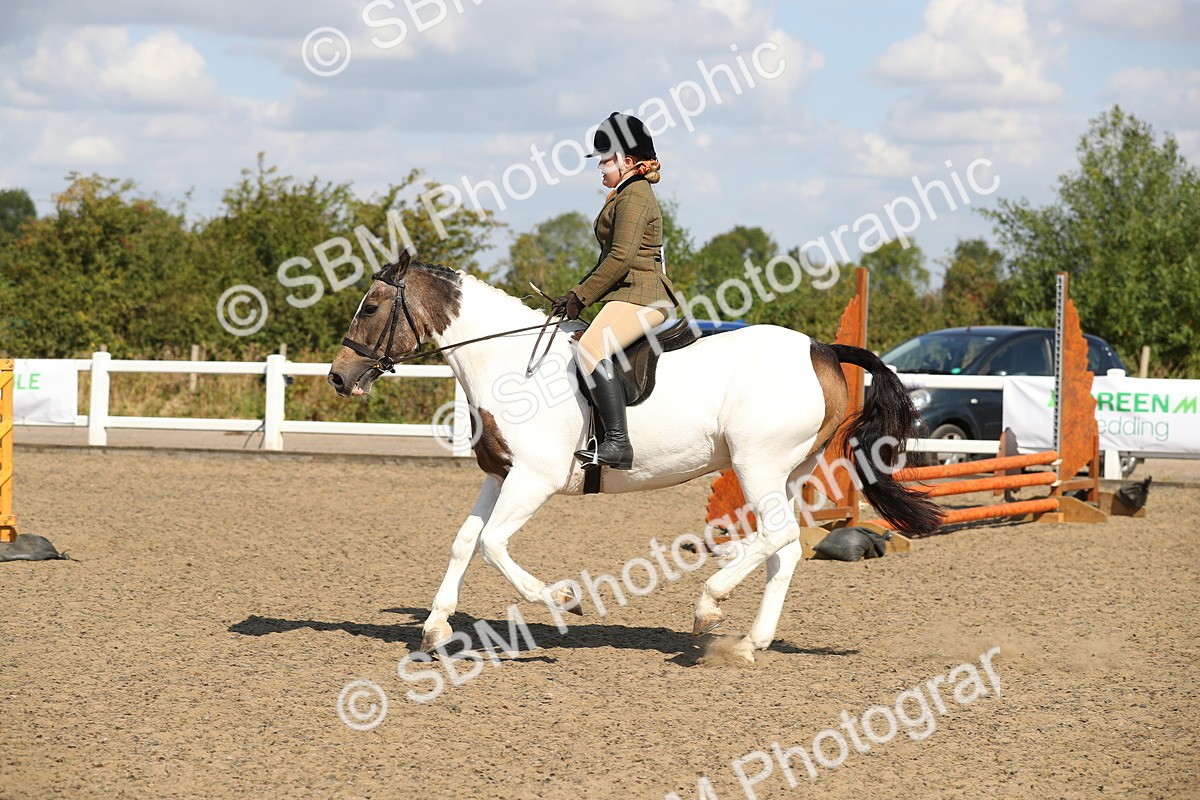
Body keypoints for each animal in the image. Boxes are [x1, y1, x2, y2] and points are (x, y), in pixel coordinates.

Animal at [327, 251, 941, 663]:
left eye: (371, 307)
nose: (338, 377)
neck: (505, 363)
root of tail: (819, 348)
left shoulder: (533, 479)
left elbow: (493, 544)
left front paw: (565, 600)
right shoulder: (501, 475)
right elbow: (464, 541)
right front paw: (433, 629)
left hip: (757, 463)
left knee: (780, 535)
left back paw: (709, 605)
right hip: (788, 470)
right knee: (784, 547)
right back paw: (749, 642)